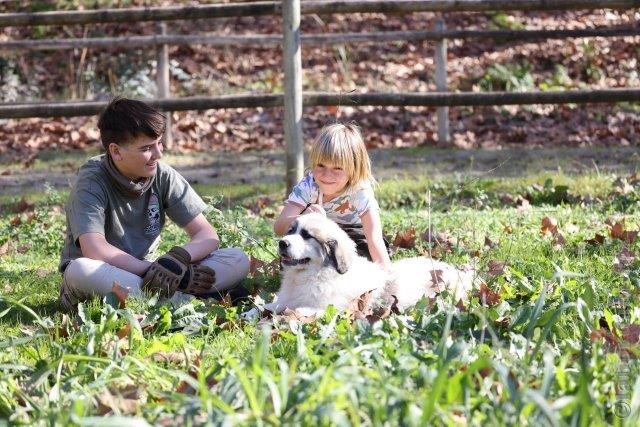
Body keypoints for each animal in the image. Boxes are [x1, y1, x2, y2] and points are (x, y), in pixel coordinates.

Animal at [255, 214, 476, 318]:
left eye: (306, 235)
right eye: (290, 231)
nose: (282, 243)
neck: (310, 275)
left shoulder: (330, 309)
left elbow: (296, 311)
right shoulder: (286, 299)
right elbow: (265, 306)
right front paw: (253, 313)